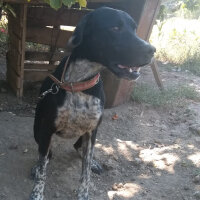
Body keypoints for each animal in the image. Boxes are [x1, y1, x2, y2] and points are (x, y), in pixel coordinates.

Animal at [29, 6, 155, 200]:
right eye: (115, 28)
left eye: (135, 29)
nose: (152, 50)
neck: (79, 83)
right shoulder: (47, 128)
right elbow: (42, 170)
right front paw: (37, 193)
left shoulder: (91, 131)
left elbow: (85, 171)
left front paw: (83, 193)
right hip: (38, 130)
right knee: (47, 154)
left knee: (79, 148)